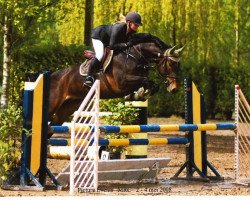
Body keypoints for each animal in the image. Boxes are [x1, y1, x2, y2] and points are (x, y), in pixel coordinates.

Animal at [48, 33, 184, 126]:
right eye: (171, 64)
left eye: (179, 65)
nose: (174, 88)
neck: (136, 56)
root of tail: (53, 76)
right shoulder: (122, 84)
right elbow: (146, 80)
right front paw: (140, 93)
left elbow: (152, 84)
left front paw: (140, 94)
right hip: (53, 105)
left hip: (66, 109)